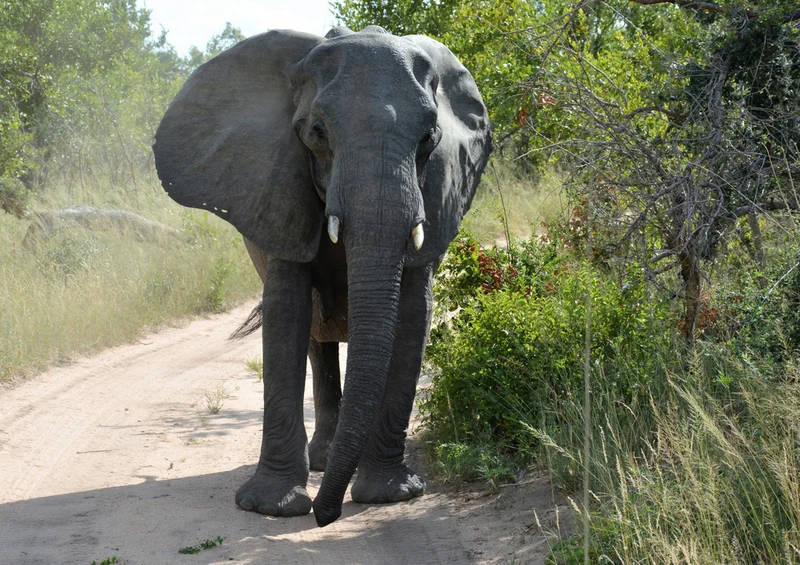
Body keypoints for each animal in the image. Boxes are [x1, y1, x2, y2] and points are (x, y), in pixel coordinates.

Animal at [152, 25, 491, 527]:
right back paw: (323, 462)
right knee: (317, 336)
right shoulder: (276, 190)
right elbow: (286, 312)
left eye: (430, 137)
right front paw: (270, 508)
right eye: (316, 132)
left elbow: (414, 313)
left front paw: (390, 496)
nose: (323, 517)